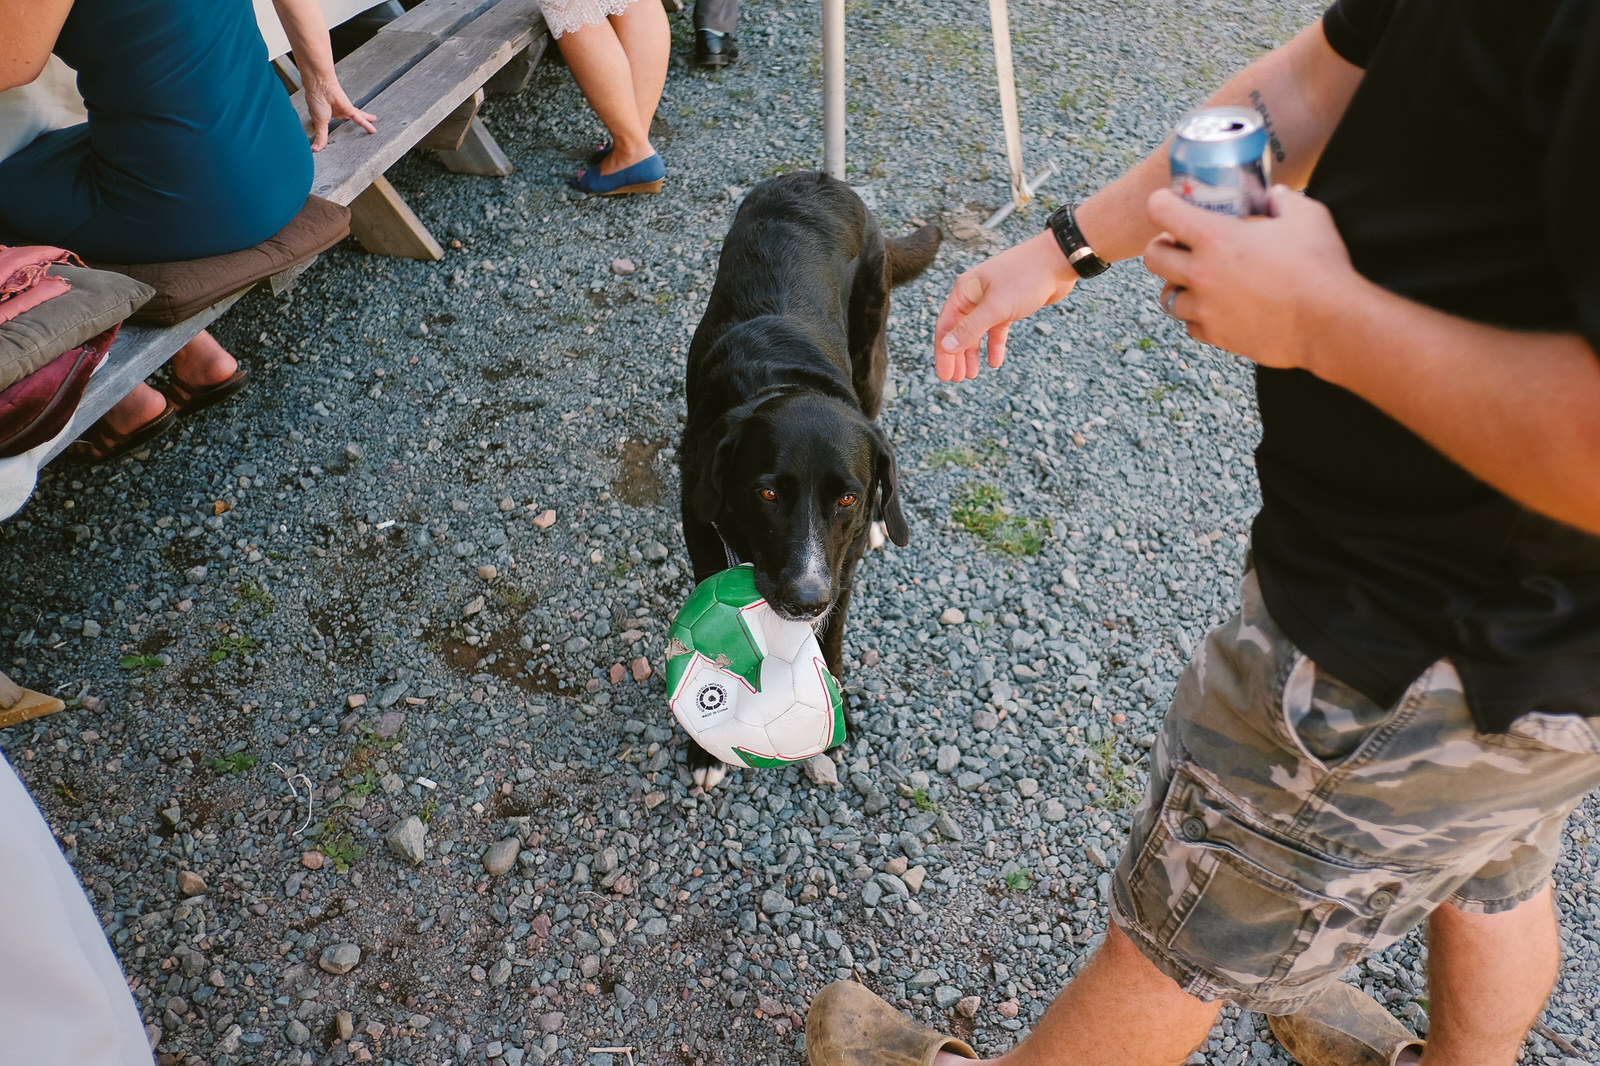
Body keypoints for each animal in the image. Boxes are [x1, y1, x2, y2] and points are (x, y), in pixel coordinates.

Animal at [675, 172, 934, 787]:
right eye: (767, 493)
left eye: (848, 498)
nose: (806, 600)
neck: (780, 381)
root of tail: (820, 180)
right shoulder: (696, 510)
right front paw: (704, 747)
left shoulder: (840, 569)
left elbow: (832, 638)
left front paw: (830, 717)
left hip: (871, 351)